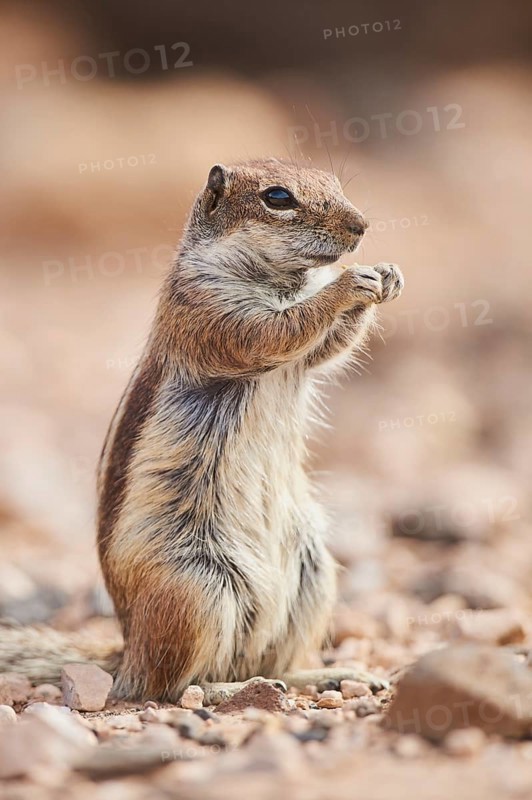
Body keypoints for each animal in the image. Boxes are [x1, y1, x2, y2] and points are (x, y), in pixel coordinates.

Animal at [0, 159, 403, 701]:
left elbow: (327, 347)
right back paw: (231, 692)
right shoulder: (208, 310)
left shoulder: (299, 349)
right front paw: (346, 284)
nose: (362, 226)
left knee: (262, 660)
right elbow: (278, 331)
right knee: (173, 686)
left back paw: (329, 675)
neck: (281, 279)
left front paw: (388, 274)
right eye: (278, 197)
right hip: (197, 590)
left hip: (312, 572)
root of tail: (127, 651)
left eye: (335, 181)